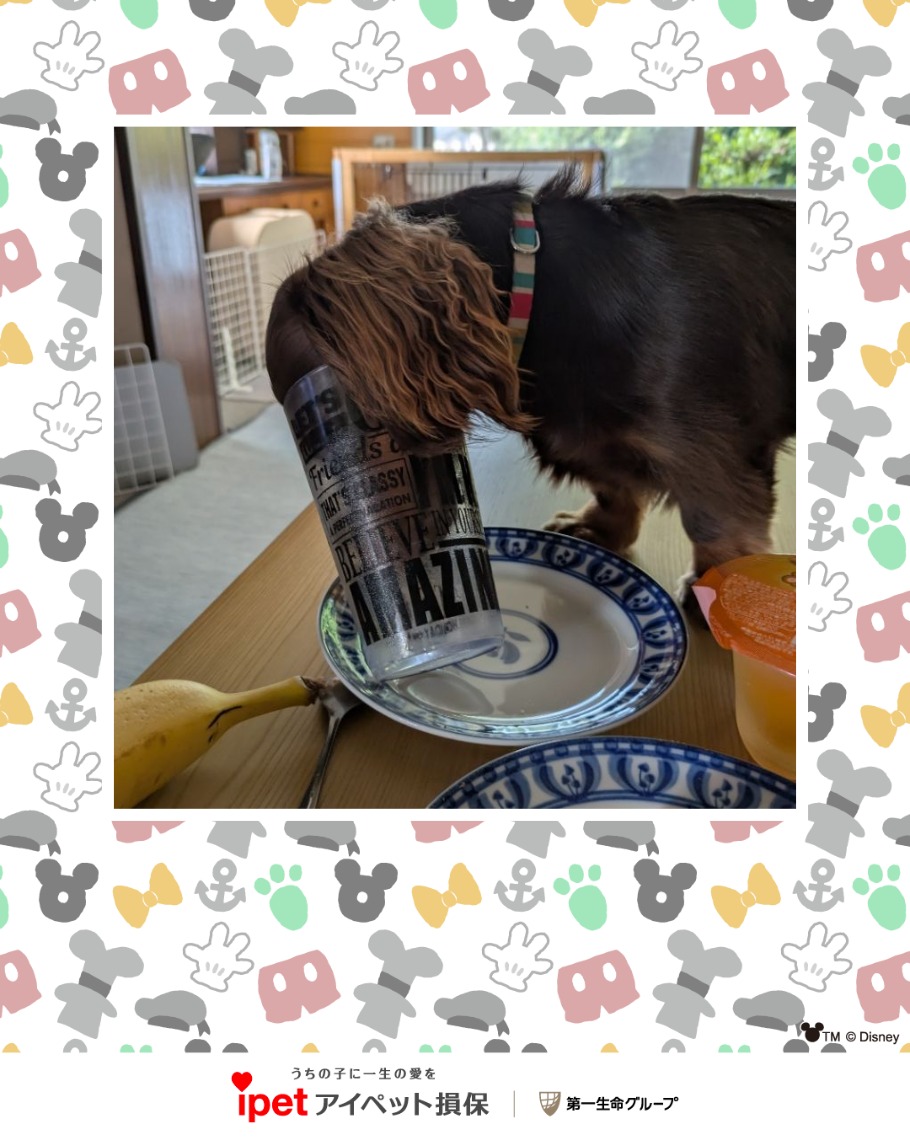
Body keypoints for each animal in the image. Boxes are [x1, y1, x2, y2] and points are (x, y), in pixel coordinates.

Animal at [266, 169, 795, 603]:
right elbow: (614, 487)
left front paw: (718, 593)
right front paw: (599, 530)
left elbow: (714, 524)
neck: (546, 291)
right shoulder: (594, 437)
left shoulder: (712, 454)